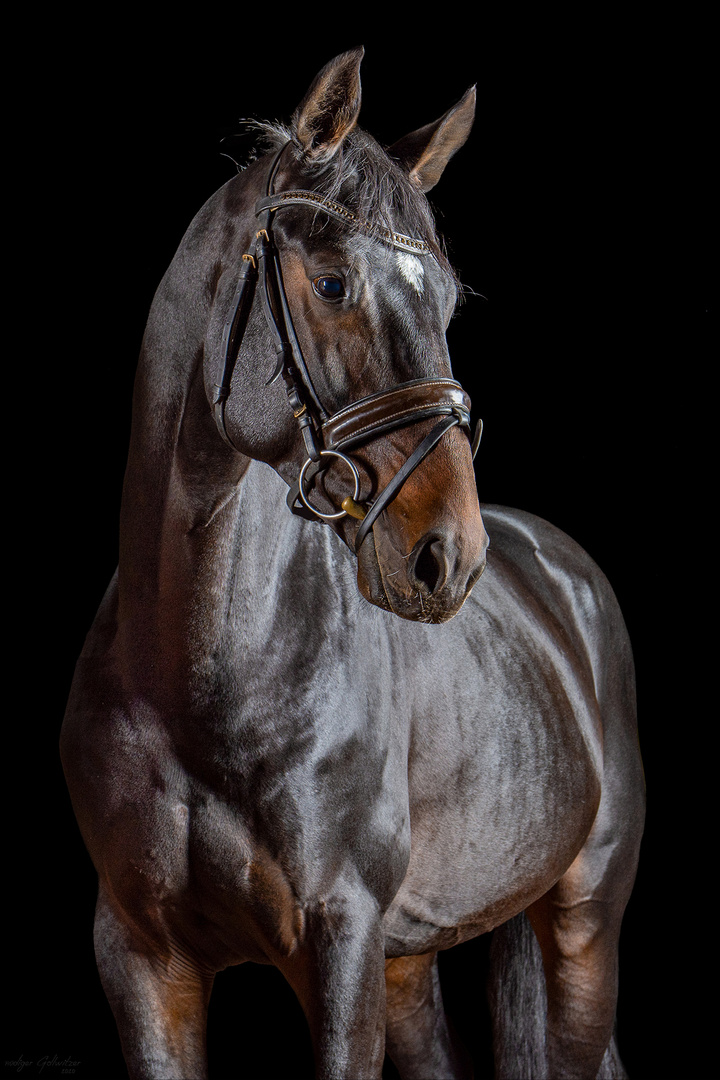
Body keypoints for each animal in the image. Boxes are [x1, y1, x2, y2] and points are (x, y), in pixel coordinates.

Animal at [62, 46, 643, 1075]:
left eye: (447, 299)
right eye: (331, 283)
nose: (447, 556)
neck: (192, 674)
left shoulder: (342, 943)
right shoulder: (142, 960)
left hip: (583, 921)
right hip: (410, 963)